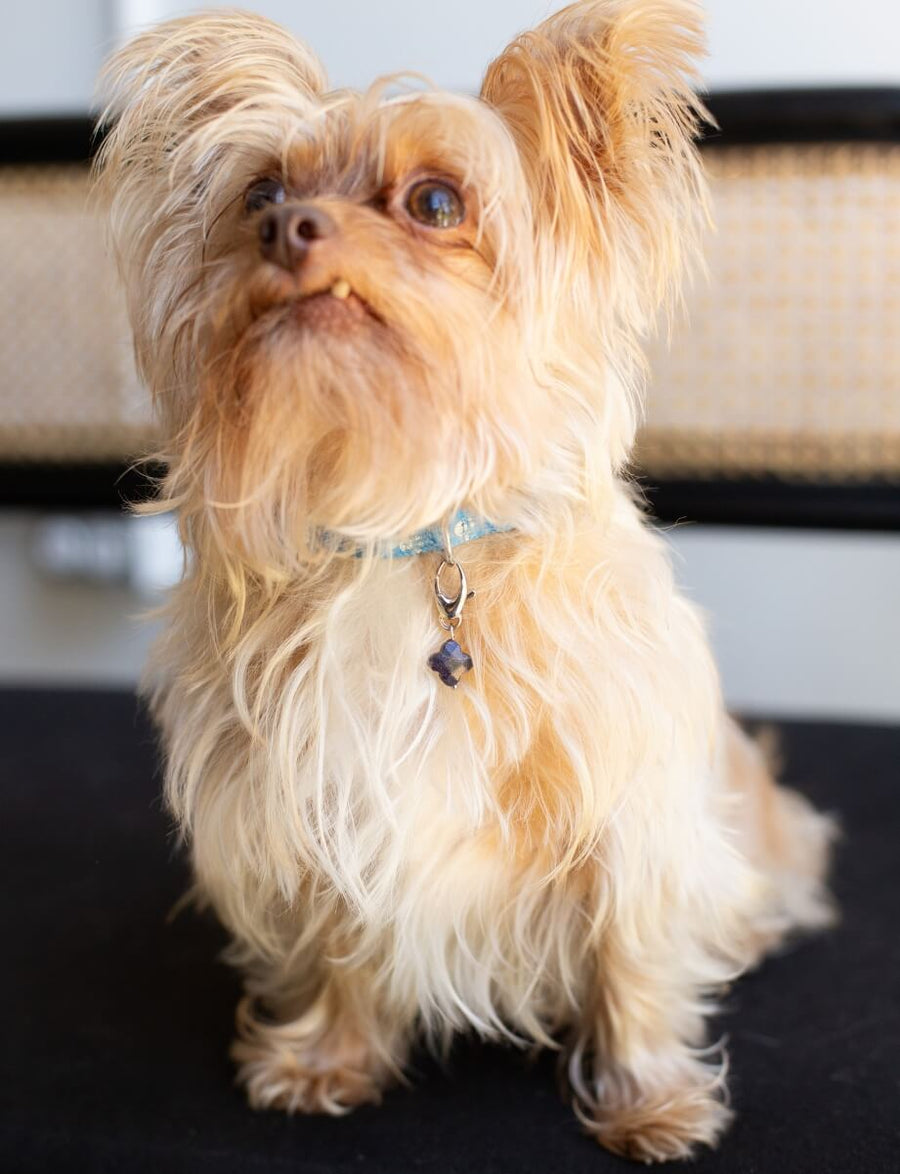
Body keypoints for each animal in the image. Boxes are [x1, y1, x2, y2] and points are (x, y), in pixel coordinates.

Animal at [95, 2, 835, 1164]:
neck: (405, 525)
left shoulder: (628, 806)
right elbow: (346, 939)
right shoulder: (322, 796)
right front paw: (329, 1056)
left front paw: (650, 1096)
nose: (286, 229)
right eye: (259, 195)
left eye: (435, 202)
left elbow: (632, 955)